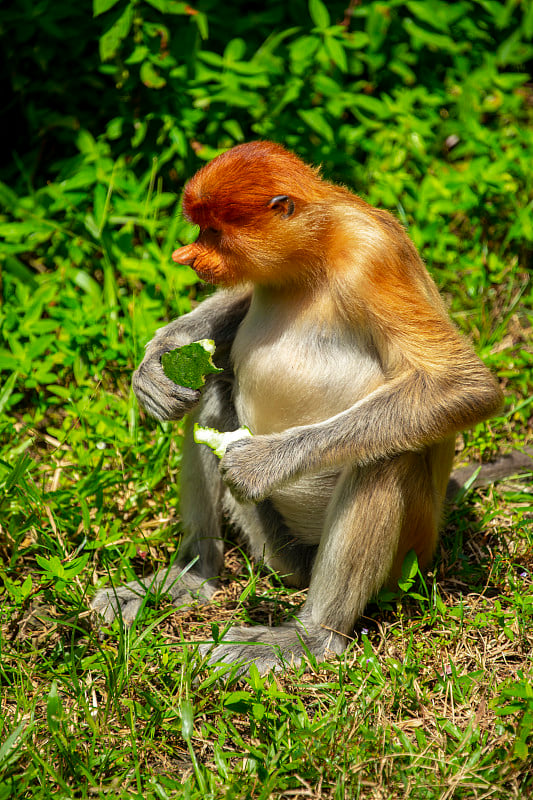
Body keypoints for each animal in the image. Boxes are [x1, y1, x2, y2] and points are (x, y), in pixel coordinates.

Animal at [91, 141, 502, 672]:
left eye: (214, 232)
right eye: (200, 228)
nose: (186, 256)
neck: (314, 253)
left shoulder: (372, 256)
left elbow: (461, 385)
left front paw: (260, 464)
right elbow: (240, 304)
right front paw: (155, 366)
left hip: (408, 557)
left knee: (386, 457)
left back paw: (310, 636)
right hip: (275, 545)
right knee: (212, 397)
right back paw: (194, 576)